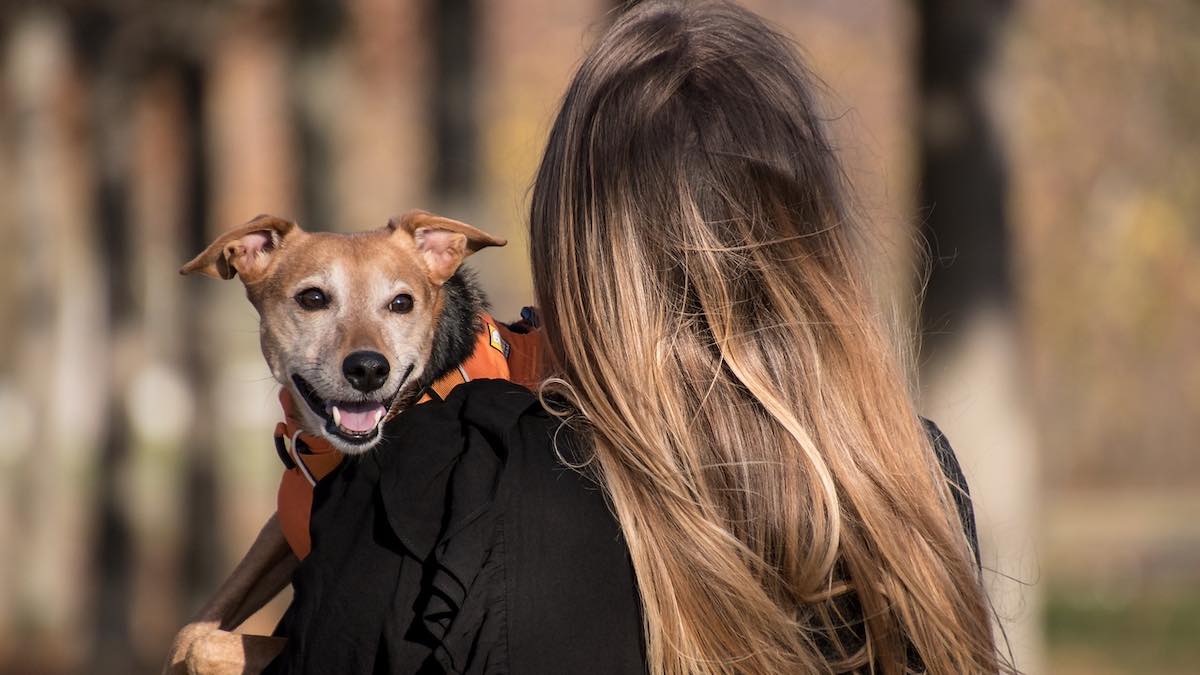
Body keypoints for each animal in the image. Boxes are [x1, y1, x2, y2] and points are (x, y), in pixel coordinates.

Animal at [163, 210, 506, 672]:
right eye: (312, 298)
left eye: (402, 303)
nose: (369, 369)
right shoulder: (281, 527)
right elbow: (192, 632)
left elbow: (206, 646)